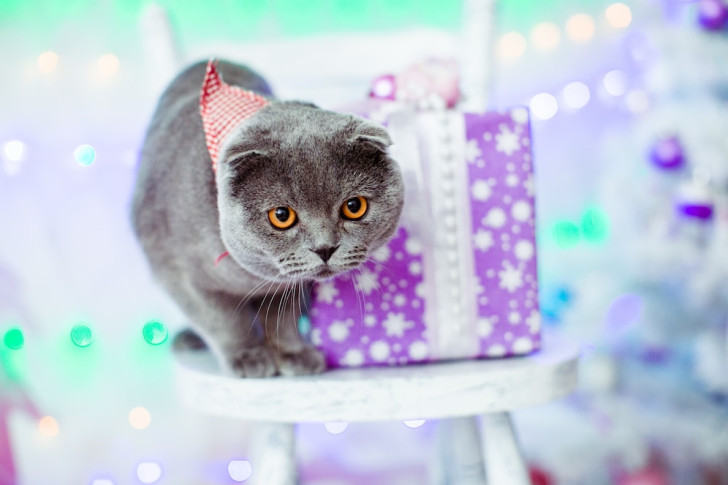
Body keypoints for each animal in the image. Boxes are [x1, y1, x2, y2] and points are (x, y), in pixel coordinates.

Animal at [131, 60, 404, 376]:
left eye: (354, 206)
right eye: (281, 216)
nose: (325, 248)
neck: (250, 277)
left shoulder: (291, 285)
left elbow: (282, 317)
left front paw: (292, 354)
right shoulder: (179, 275)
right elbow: (221, 320)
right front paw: (247, 357)